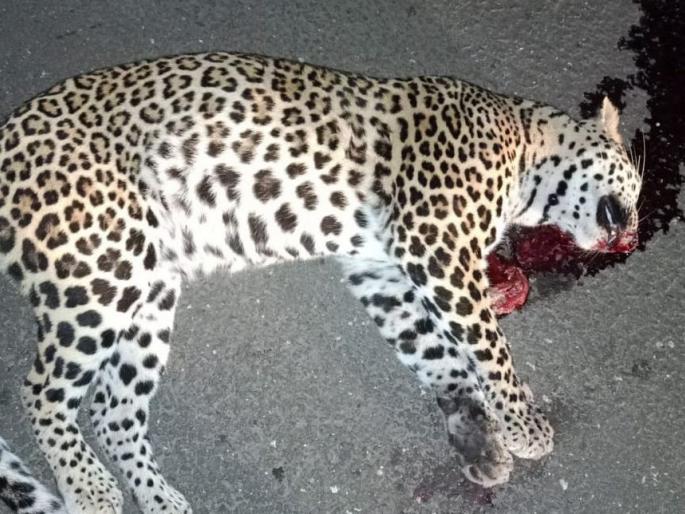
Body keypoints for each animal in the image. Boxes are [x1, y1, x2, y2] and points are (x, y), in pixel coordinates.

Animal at [0, 52, 641, 513]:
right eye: (634, 187)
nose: (632, 232)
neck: (526, 147)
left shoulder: (380, 268)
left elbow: (439, 356)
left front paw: (480, 441)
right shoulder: (436, 245)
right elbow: (489, 347)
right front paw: (525, 425)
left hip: (149, 291)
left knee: (113, 411)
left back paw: (160, 501)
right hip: (102, 269)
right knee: (41, 391)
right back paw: (90, 490)